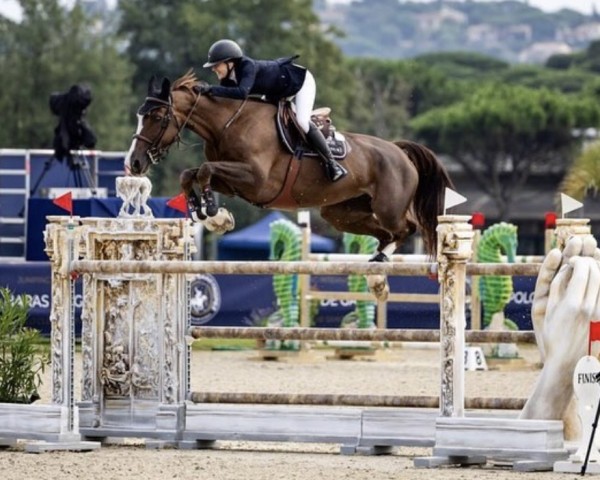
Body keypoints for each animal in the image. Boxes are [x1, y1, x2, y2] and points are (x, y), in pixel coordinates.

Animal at [126, 70, 454, 300]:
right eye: (139, 116)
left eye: (157, 116)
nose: (134, 164)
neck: (227, 124)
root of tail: (399, 151)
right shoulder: (237, 183)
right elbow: (191, 174)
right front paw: (212, 215)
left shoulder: (256, 181)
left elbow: (204, 171)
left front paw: (212, 213)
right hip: (342, 214)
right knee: (384, 234)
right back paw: (375, 273)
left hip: (388, 207)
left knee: (405, 228)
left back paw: (379, 268)